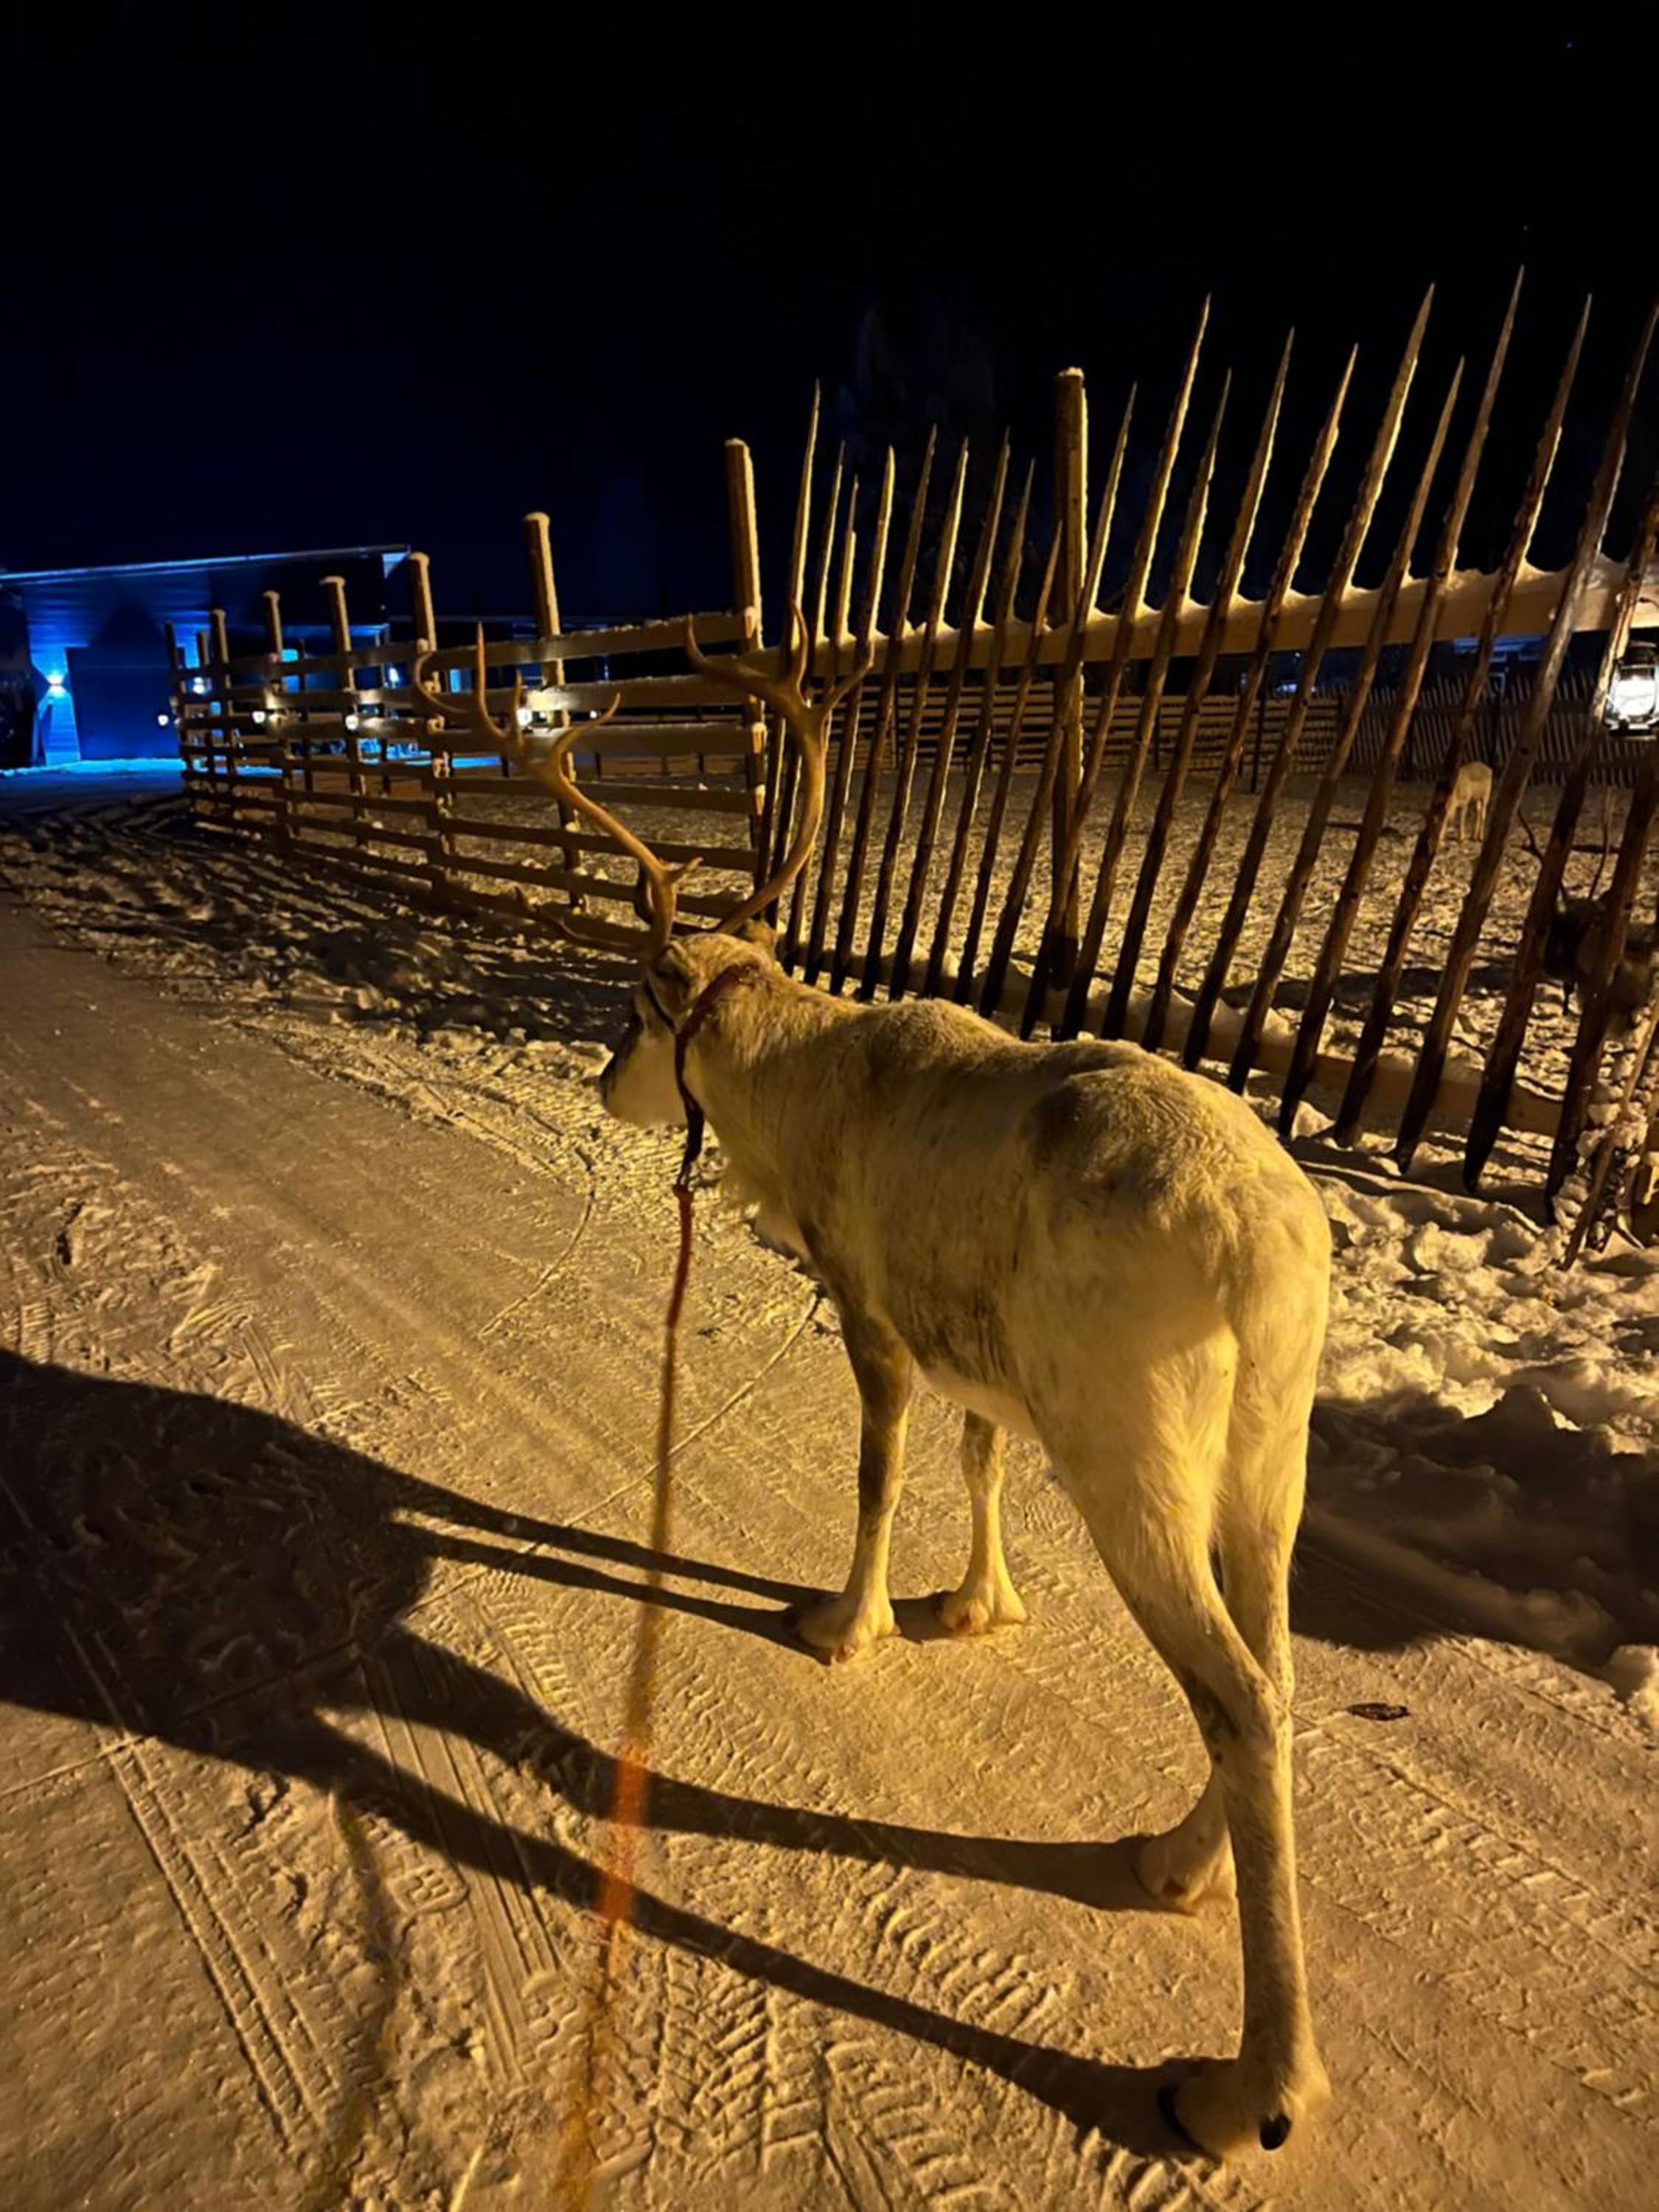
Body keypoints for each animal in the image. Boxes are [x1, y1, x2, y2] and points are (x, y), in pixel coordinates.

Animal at [412, 618, 1334, 2160]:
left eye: (635, 1009)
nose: (601, 1086)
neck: (789, 1097)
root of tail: (1267, 1249)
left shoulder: (867, 1302)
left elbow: (879, 1469)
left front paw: (847, 1626)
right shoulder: (980, 1359)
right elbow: (970, 1462)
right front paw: (972, 1605)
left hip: (1135, 1456)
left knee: (1239, 1699)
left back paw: (1249, 2085)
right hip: (1270, 1461)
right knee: (1274, 1666)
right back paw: (1171, 1861)